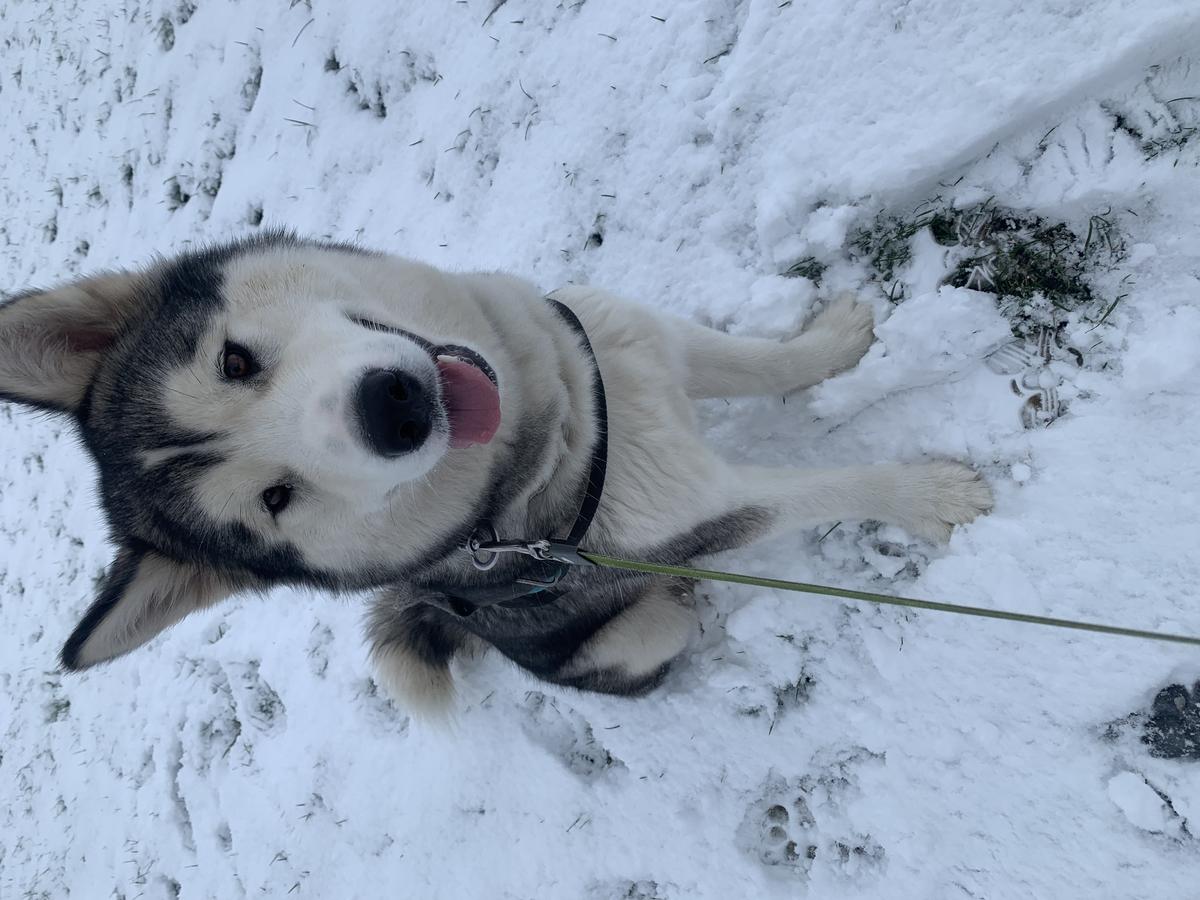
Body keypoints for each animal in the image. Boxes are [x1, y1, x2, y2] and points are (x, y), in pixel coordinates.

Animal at [0, 232, 993, 710]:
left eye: (233, 362)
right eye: (277, 498)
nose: (394, 408)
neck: (565, 430)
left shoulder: (636, 347)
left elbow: (757, 364)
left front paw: (833, 343)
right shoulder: (708, 508)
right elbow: (828, 490)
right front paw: (933, 496)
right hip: (640, 636)